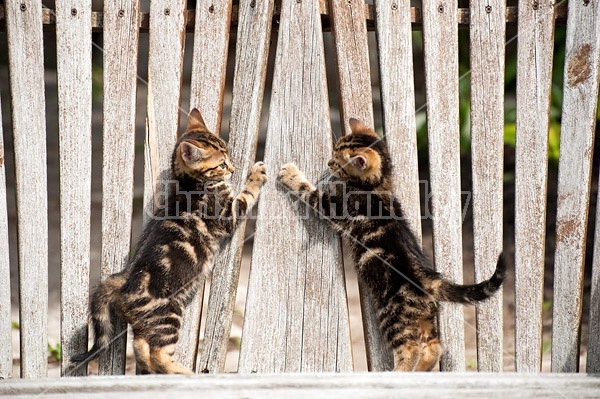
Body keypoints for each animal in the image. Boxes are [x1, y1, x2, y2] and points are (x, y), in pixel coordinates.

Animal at [72, 108, 268, 376]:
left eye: (228, 156)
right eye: (221, 163)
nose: (233, 168)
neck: (190, 182)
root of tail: (124, 278)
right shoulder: (229, 211)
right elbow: (247, 194)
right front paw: (257, 173)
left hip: (151, 323)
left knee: (141, 346)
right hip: (168, 316)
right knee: (158, 353)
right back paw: (186, 373)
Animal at [278, 118, 504, 372]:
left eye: (338, 161)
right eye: (333, 153)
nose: (328, 163)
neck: (377, 186)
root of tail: (429, 279)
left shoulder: (331, 205)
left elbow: (308, 192)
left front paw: (291, 174)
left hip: (394, 318)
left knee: (412, 349)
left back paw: (398, 371)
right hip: (425, 320)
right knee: (434, 348)